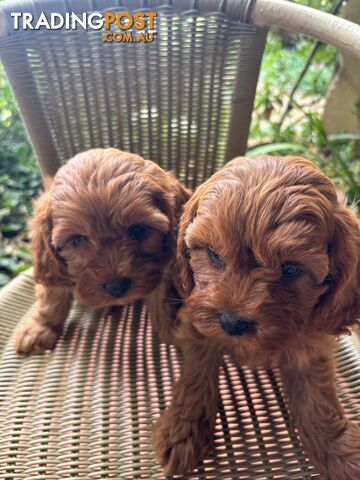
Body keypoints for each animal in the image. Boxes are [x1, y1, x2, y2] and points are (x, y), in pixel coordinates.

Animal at [15, 148, 191, 354]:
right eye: (78, 239)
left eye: (139, 230)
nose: (117, 287)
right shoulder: (56, 268)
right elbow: (52, 299)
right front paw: (39, 329)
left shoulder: (162, 270)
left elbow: (162, 303)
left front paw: (172, 332)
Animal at [153, 157, 360, 480]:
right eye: (213, 254)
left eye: (290, 269)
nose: (232, 323)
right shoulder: (199, 327)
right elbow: (196, 376)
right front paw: (183, 431)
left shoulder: (313, 341)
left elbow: (318, 398)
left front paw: (340, 451)